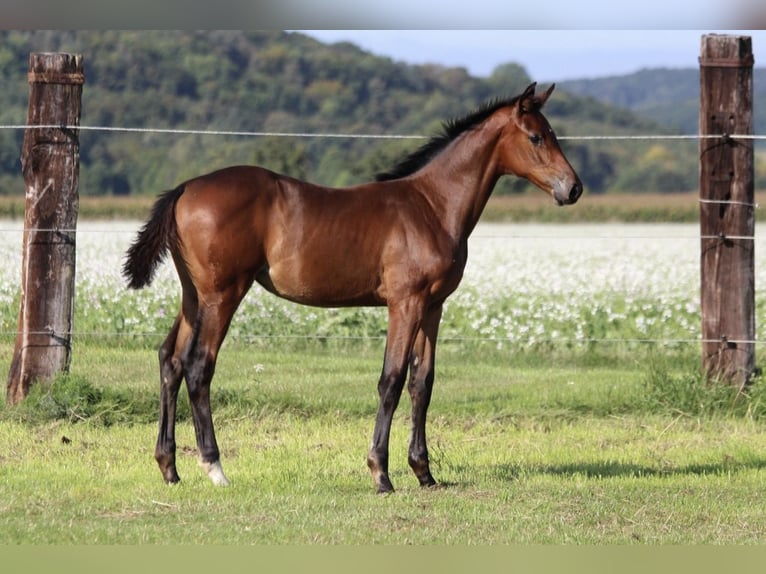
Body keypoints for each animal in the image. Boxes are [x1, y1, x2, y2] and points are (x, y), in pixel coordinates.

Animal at [123, 82, 583, 493]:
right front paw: (381, 474)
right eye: (537, 136)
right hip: (223, 295)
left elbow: (423, 382)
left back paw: (169, 468)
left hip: (193, 295)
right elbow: (392, 379)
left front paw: (425, 474)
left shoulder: (433, 306)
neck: (432, 206)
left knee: (170, 359)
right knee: (199, 366)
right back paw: (215, 469)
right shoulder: (405, 303)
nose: (573, 188)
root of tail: (185, 188)